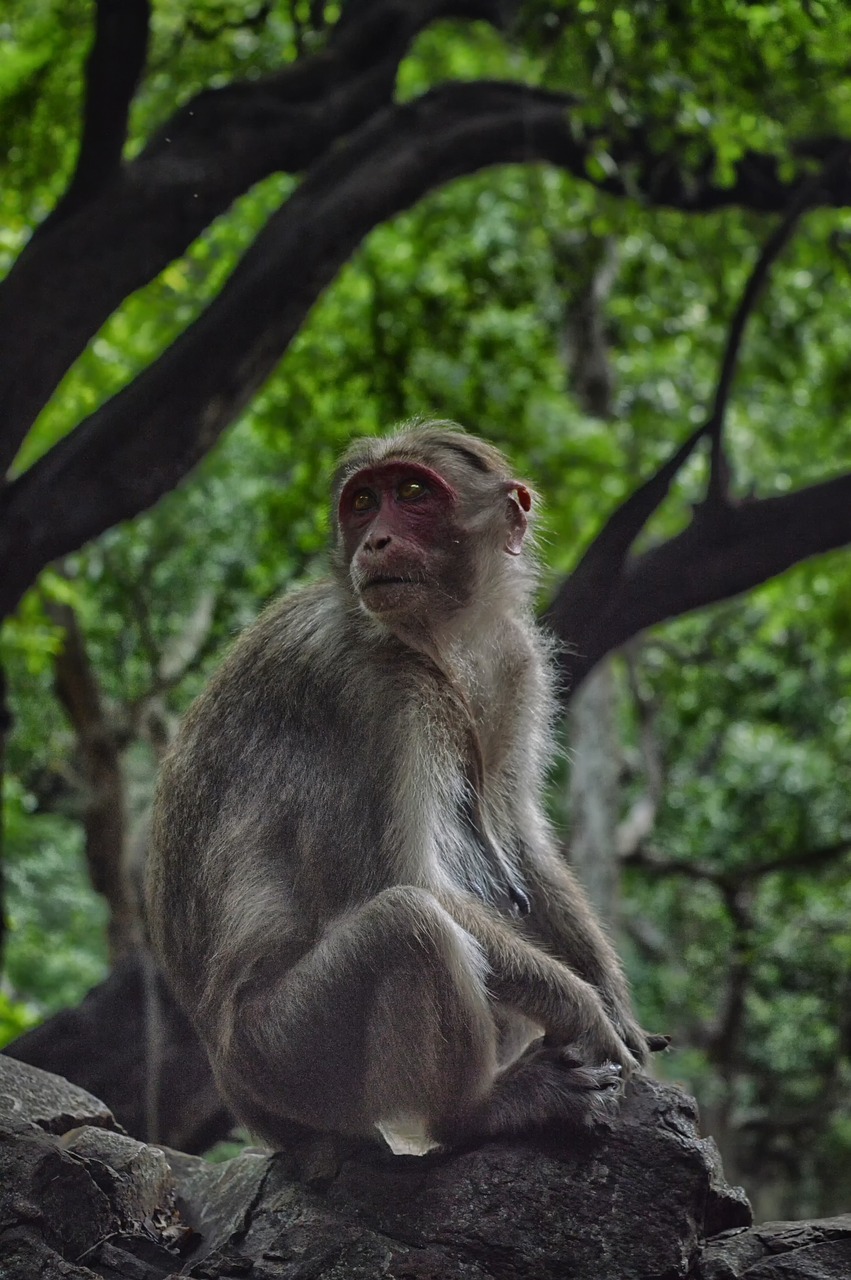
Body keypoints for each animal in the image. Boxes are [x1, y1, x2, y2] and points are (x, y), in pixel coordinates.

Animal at [145, 422, 660, 1162]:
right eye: (362, 502)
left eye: (413, 492)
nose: (377, 541)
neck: (438, 637)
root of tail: (238, 1094)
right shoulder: (371, 686)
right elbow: (407, 878)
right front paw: (584, 1010)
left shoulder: (518, 659)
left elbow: (519, 838)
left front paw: (613, 998)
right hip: (286, 1055)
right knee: (408, 925)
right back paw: (473, 1113)